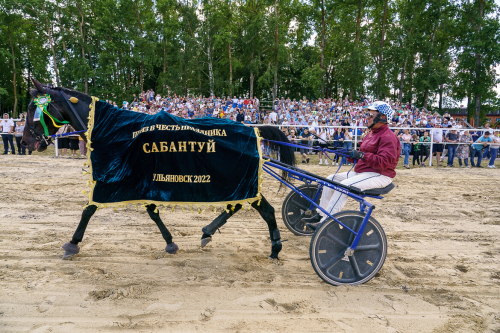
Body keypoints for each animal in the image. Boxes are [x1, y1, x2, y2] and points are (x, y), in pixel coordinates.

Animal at [23, 78, 294, 260]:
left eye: (33, 109)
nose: (26, 141)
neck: (112, 129)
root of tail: (252, 128)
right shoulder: (138, 179)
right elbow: (151, 211)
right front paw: (170, 242)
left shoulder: (116, 178)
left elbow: (89, 209)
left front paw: (72, 243)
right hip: (233, 179)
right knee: (238, 204)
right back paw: (209, 231)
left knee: (264, 209)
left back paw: (275, 248)